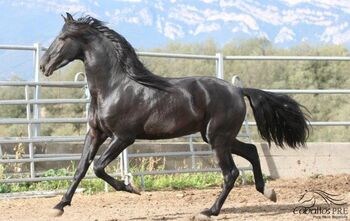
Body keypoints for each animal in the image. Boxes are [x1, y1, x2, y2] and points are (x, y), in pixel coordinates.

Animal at [40, 12, 308, 218]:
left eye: (63, 38)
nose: (43, 65)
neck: (114, 87)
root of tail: (238, 90)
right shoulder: (96, 133)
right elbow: (81, 168)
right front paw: (59, 206)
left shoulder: (123, 137)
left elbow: (97, 167)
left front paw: (131, 188)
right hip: (218, 137)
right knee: (251, 151)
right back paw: (268, 193)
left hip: (218, 139)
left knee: (231, 172)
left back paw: (209, 211)